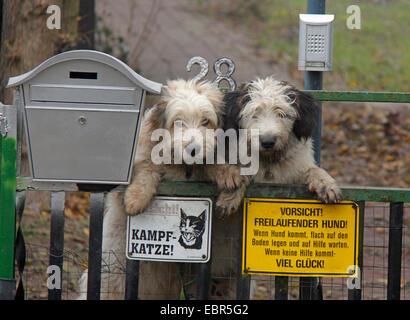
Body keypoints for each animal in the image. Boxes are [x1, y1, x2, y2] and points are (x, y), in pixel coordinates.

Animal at [77, 79, 243, 300]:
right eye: (178, 122)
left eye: (206, 122)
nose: (194, 149)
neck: (184, 168)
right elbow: (148, 167)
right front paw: (136, 197)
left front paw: (227, 174)